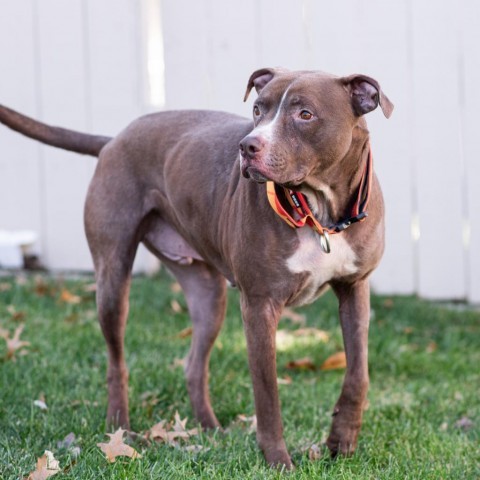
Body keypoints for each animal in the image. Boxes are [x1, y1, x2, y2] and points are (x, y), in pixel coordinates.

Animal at [0, 68, 392, 468]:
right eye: (257, 109)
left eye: (305, 115)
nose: (247, 147)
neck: (319, 212)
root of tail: (113, 141)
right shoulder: (260, 305)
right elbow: (267, 393)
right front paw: (278, 461)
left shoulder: (356, 288)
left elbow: (358, 373)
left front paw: (341, 441)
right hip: (112, 277)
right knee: (116, 360)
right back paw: (120, 428)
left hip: (208, 294)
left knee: (193, 364)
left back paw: (210, 428)